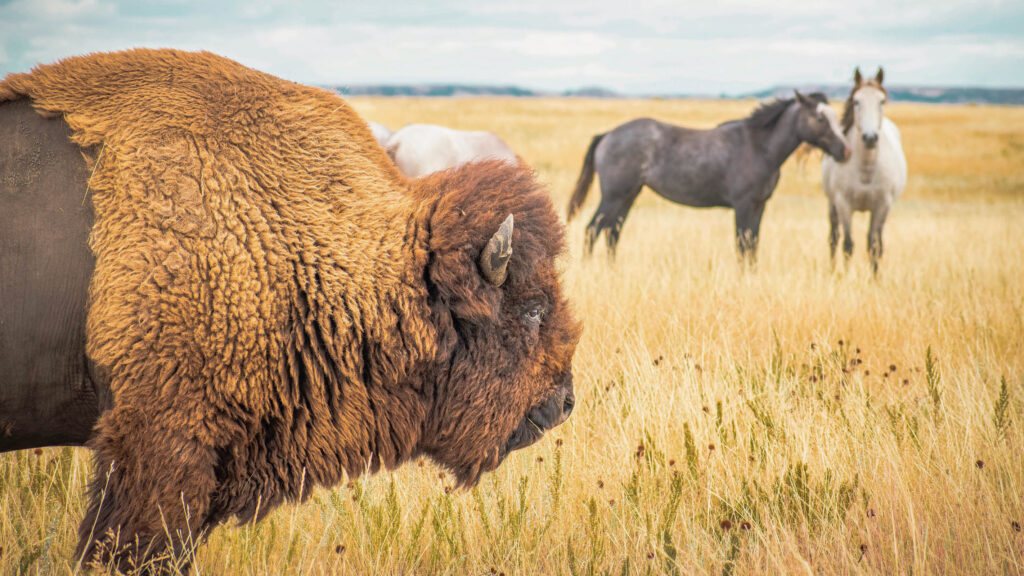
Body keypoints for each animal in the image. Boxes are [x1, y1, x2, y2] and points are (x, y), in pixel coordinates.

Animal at [567, 92, 850, 262]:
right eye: (820, 118)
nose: (845, 151)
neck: (759, 147)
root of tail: (607, 134)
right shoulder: (743, 205)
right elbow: (742, 244)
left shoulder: (760, 205)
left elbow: (753, 244)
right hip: (613, 196)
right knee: (593, 230)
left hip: (629, 195)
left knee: (612, 233)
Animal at [822, 67, 907, 273]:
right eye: (856, 101)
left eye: (881, 101)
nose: (870, 137)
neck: (866, 168)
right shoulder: (843, 204)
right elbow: (847, 245)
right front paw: (845, 276)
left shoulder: (883, 205)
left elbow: (874, 246)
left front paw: (875, 277)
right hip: (832, 204)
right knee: (834, 238)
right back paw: (832, 269)